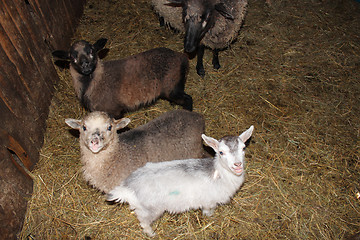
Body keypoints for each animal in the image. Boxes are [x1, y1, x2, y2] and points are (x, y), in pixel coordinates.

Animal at [52, 37, 193, 119]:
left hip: (172, 87)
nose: (85, 65)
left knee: (188, 99)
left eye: (92, 52)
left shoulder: (115, 111)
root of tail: (181, 57)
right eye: (73, 57)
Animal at [63, 109, 207, 193]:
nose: (94, 141)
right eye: (84, 127)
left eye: (109, 127)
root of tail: (198, 116)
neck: (118, 155)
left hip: (194, 152)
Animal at [106, 125, 253, 236]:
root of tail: (128, 186)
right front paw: (209, 217)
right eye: (221, 152)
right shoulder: (208, 201)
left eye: (243, 148)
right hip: (150, 209)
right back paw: (151, 233)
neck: (218, 173)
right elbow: (207, 211)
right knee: (143, 221)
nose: (238, 165)